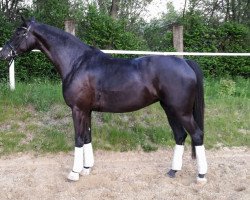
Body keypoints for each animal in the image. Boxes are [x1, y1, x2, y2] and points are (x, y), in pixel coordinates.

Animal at [0, 18, 207, 184]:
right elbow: (87, 137)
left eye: (19, 33)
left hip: (181, 111)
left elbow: (78, 138)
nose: (3, 53)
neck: (76, 63)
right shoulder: (86, 110)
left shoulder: (77, 109)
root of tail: (185, 62)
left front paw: (74, 173)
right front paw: (86, 168)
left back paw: (201, 176)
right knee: (180, 136)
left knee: (197, 135)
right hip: (170, 109)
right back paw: (173, 171)